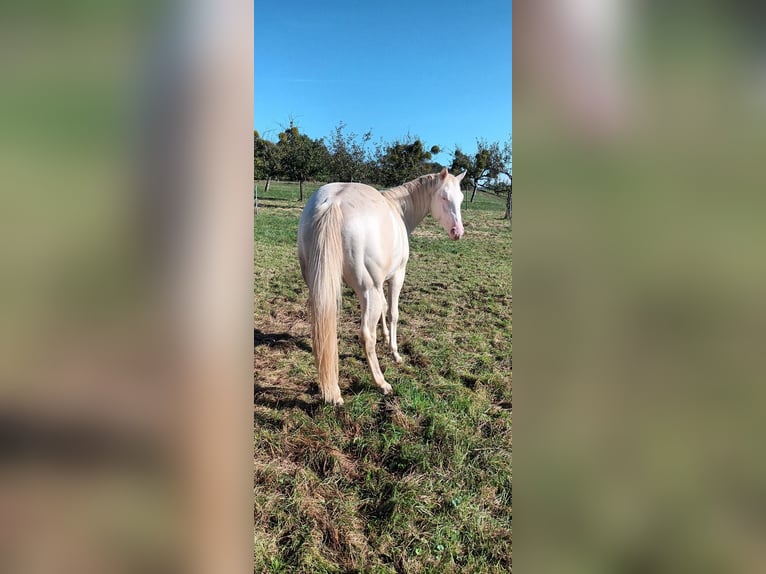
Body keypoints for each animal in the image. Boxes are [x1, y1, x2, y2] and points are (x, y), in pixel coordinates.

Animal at [298, 169, 468, 408]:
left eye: (460, 199)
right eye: (444, 197)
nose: (457, 232)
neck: (398, 210)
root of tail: (333, 202)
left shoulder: (380, 284)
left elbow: (383, 311)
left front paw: (387, 338)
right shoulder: (396, 277)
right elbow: (393, 313)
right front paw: (395, 352)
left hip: (322, 287)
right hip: (368, 289)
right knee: (366, 335)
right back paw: (380, 383)